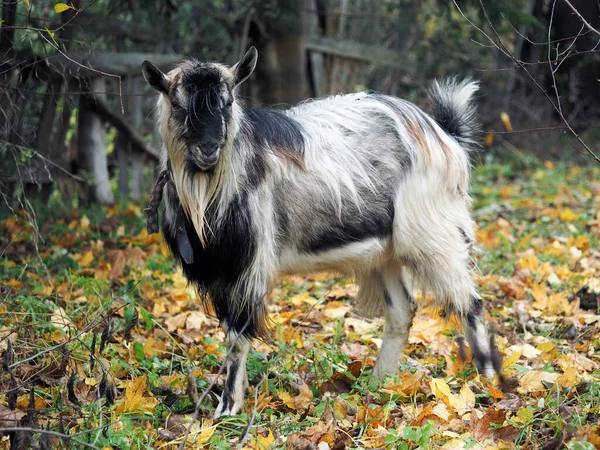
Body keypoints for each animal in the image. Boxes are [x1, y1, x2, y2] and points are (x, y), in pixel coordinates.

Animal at [142, 48, 502, 418]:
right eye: (177, 104)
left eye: (228, 103)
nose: (209, 150)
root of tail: (443, 135)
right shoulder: (219, 274)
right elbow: (230, 335)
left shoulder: (247, 267)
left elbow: (237, 340)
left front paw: (226, 410)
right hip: (385, 252)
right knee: (403, 310)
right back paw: (377, 384)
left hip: (432, 235)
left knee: (471, 303)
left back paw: (488, 380)